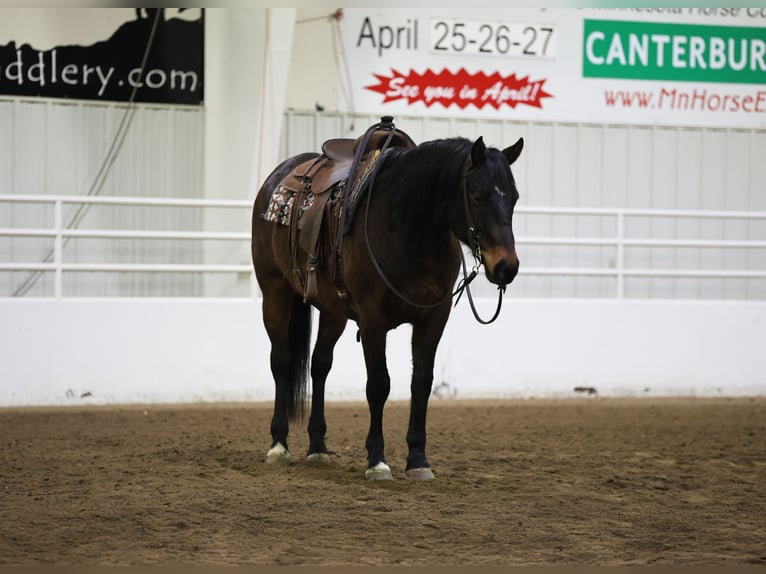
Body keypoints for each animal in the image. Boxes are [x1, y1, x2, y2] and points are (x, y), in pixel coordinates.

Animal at [250, 120, 520, 482]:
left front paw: (418, 459)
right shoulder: (373, 320)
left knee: (320, 365)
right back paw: (279, 445)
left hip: (333, 311)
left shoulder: (433, 319)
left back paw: (318, 447)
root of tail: (278, 176)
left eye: (514, 197)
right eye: (477, 195)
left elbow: (421, 383)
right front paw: (377, 461)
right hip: (275, 293)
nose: (507, 266)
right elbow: (379, 385)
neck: (409, 232)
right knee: (281, 360)